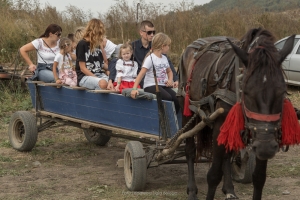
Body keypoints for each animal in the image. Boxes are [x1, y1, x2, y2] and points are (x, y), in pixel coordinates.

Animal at [177, 28, 296, 200]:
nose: (266, 148)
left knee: (227, 156)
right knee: (190, 151)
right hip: (187, 109)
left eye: (282, 92)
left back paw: (229, 189)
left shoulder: (260, 133)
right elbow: (213, 176)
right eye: (246, 92)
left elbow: (259, 177)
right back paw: (192, 190)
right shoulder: (219, 126)